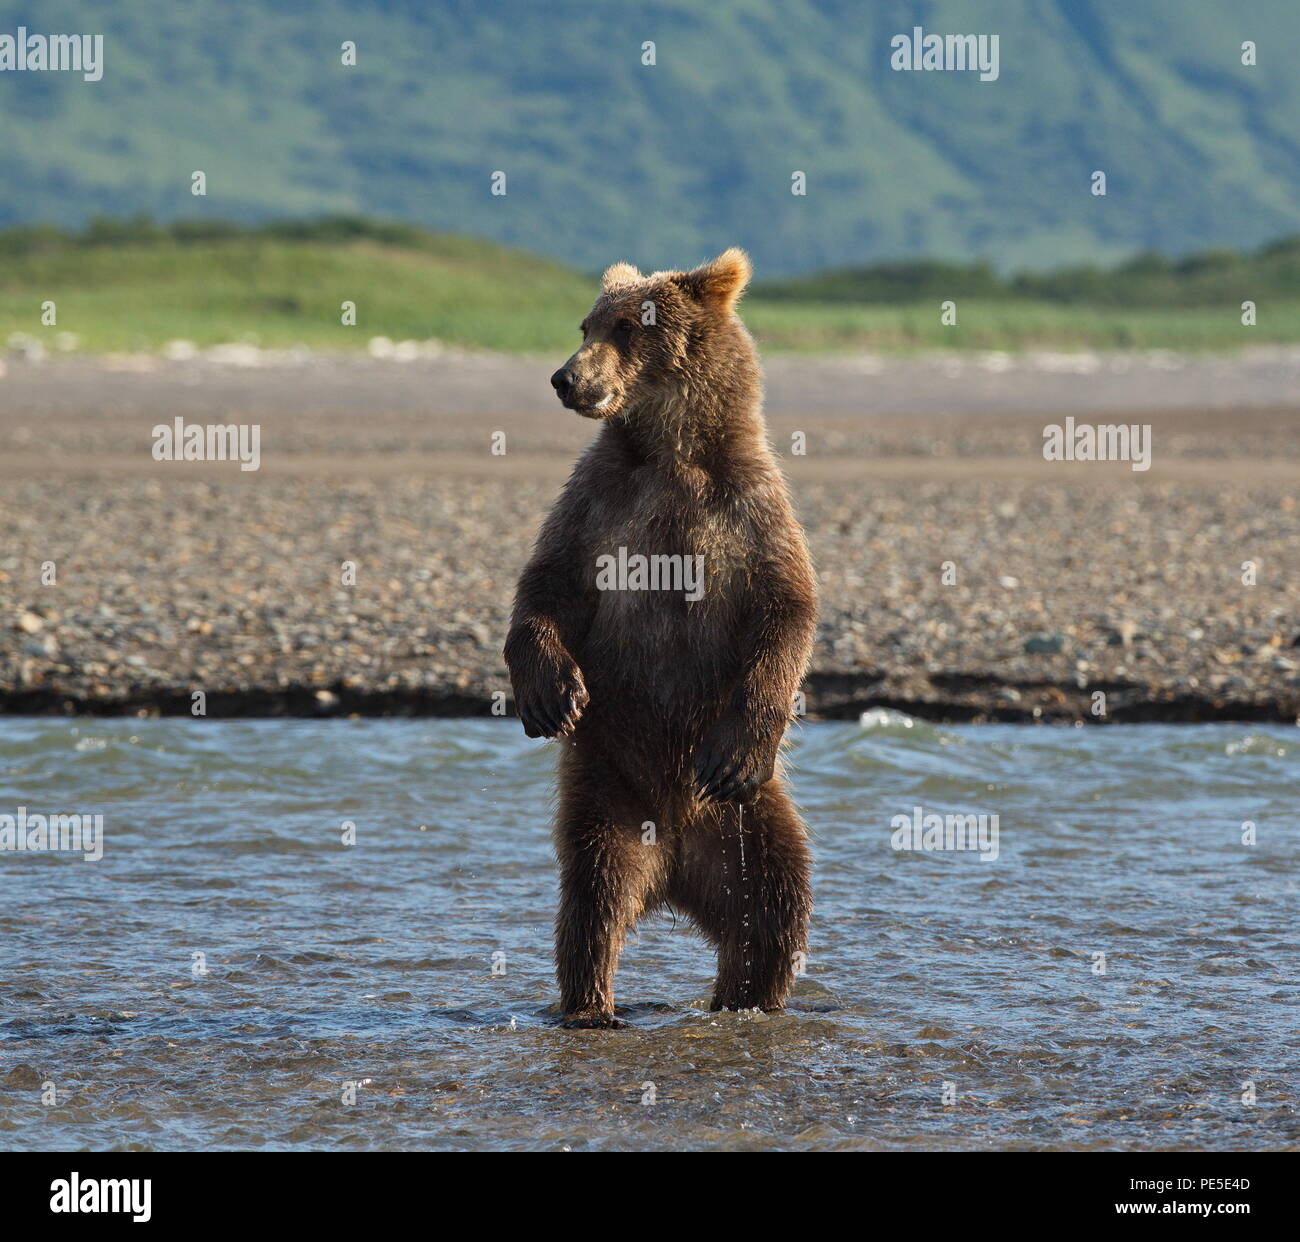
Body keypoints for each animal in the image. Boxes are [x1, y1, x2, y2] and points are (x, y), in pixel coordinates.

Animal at [504, 249, 816, 1030]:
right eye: (585, 324)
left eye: (627, 326)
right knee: (593, 904)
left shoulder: (748, 504)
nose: (565, 378)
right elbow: (548, 583)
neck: (674, 448)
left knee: (776, 907)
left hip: (749, 819)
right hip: (608, 789)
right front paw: (550, 693)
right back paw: (593, 1007)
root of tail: (673, 865)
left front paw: (740, 742)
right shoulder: (601, 499)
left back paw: (749, 1001)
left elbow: (788, 607)